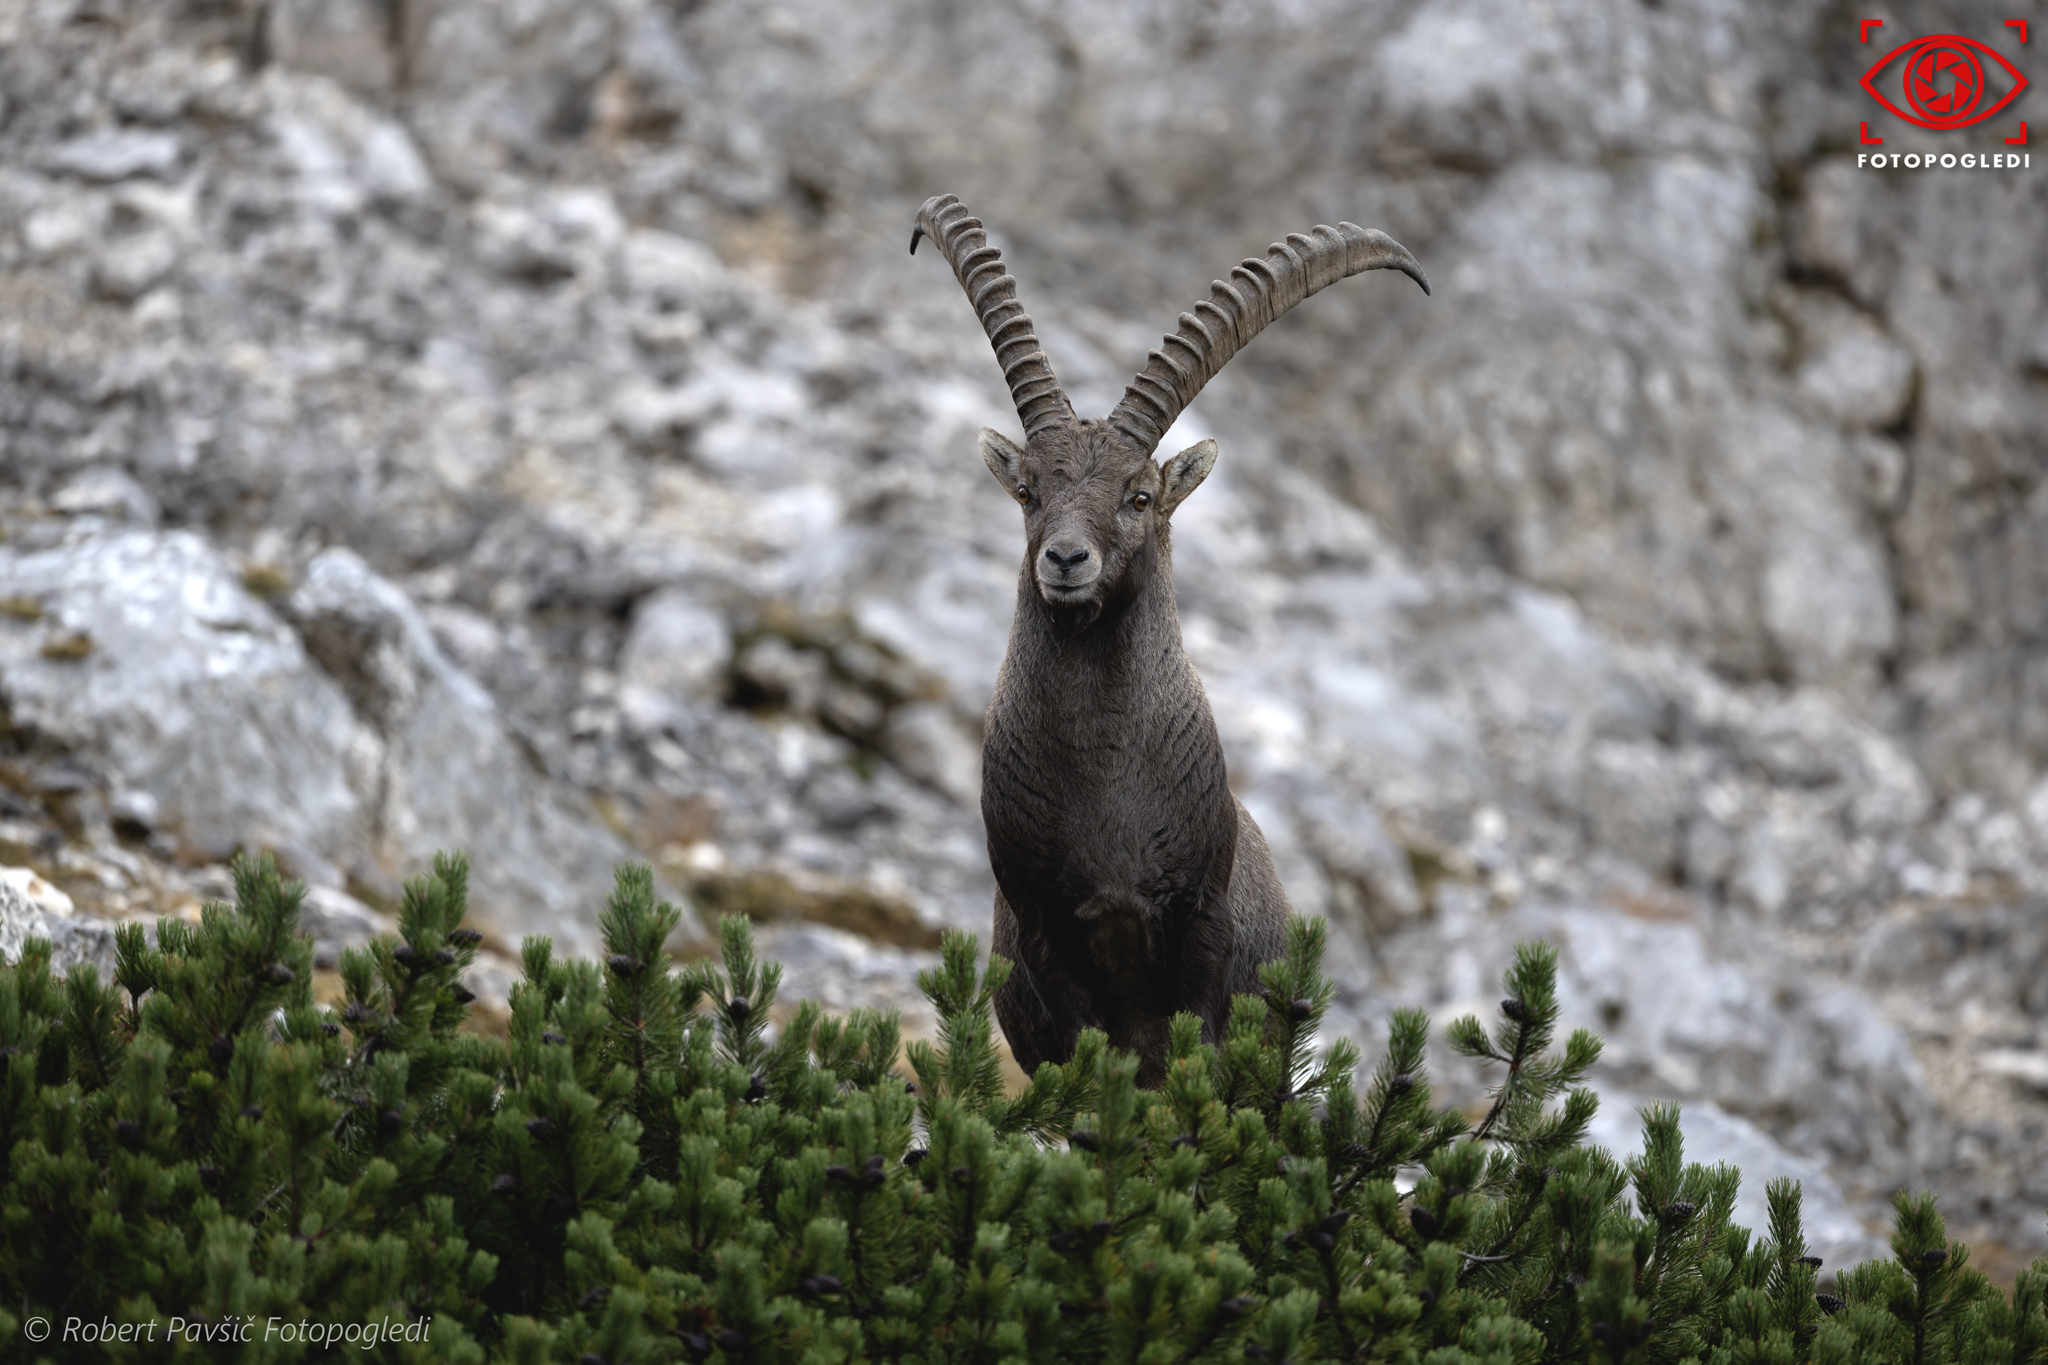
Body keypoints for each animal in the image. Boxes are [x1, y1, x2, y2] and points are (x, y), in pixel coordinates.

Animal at [912, 194, 1430, 1083]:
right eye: (1029, 490)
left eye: (1141, 494)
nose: (1065, 558)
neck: (1104, 775)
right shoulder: (1045, 929)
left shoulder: (1201, 920)